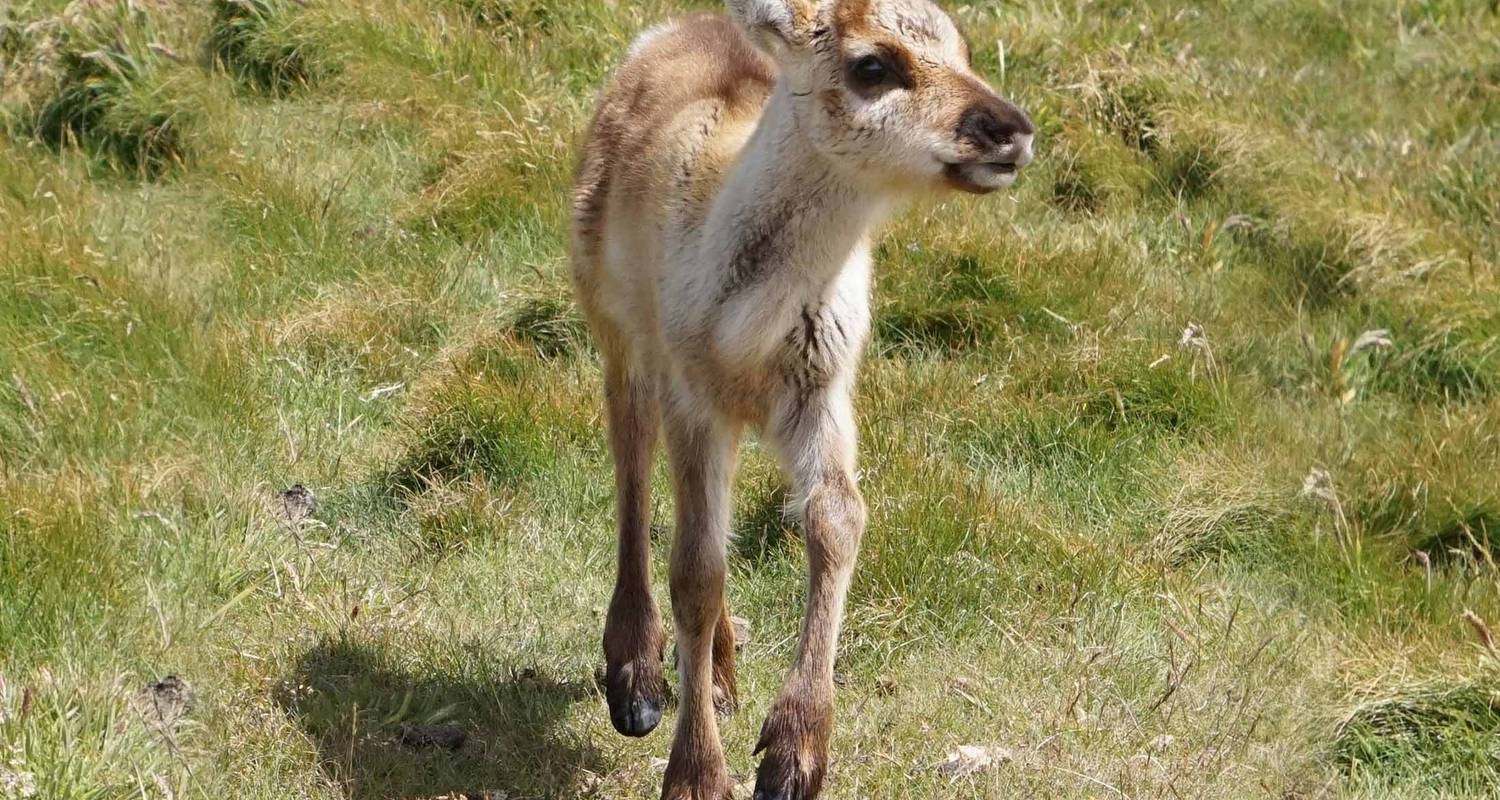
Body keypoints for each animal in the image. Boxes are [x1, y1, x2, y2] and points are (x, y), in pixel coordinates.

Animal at [567, 3, 1038, 792]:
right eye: (873, 65)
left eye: (966, 48)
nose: (1012, 129)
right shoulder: (692, 389)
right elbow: (694, 568)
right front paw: (695, 775)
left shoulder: (823, 380)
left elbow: (837, 518)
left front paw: (794, 755)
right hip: (611, 313)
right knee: (631, 458)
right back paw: (635, 679)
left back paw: (721, 680)